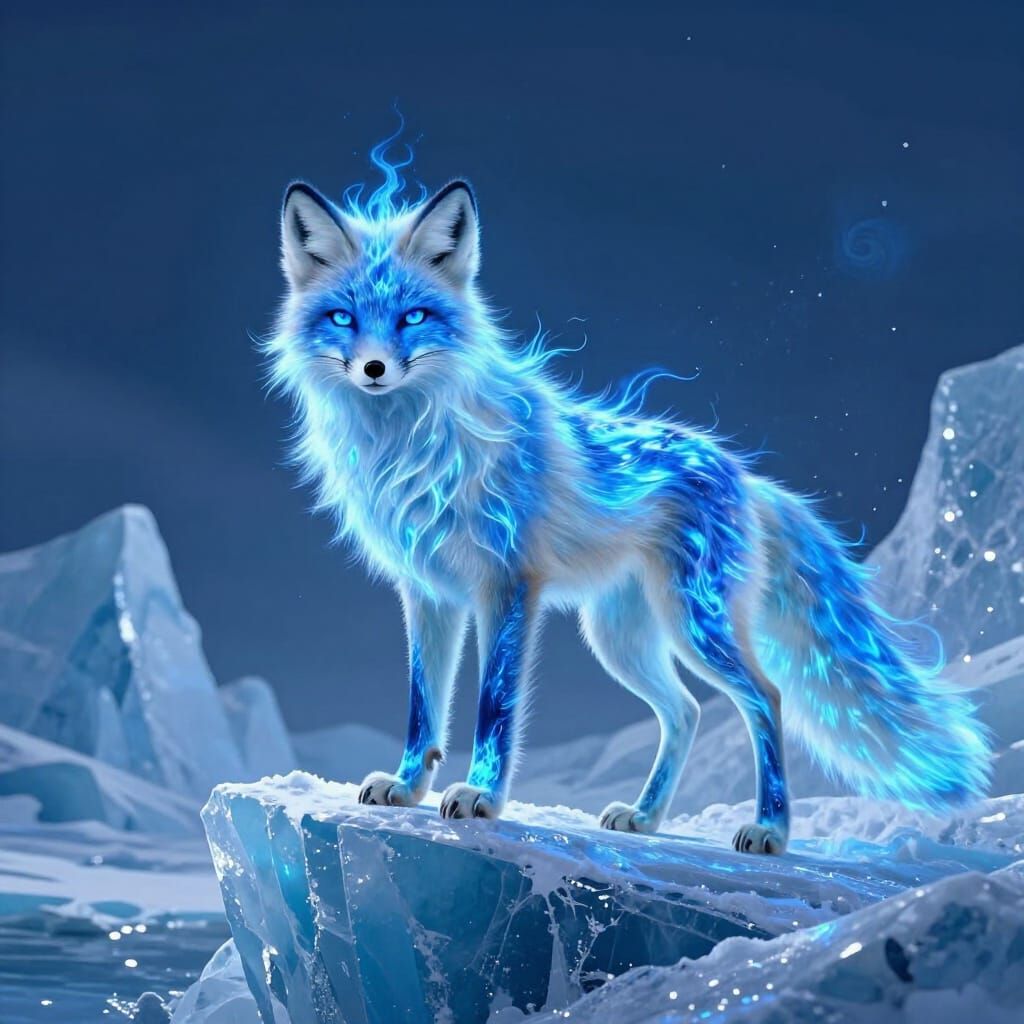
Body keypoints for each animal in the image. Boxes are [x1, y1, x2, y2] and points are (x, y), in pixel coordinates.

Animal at [266, 158, 990, 855]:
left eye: (414, 316)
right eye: (342, 318)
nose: (374, 370)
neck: (410, 446)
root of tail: (747, 479)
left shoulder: (507, 586)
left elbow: (494, 709)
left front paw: (483, 798)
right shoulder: (428, 592)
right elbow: (423, 708)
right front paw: (409, 786)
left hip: (693, 625)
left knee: (766, 696)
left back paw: (772, 831)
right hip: (619, 638)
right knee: (686, 711)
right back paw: (645, 817)